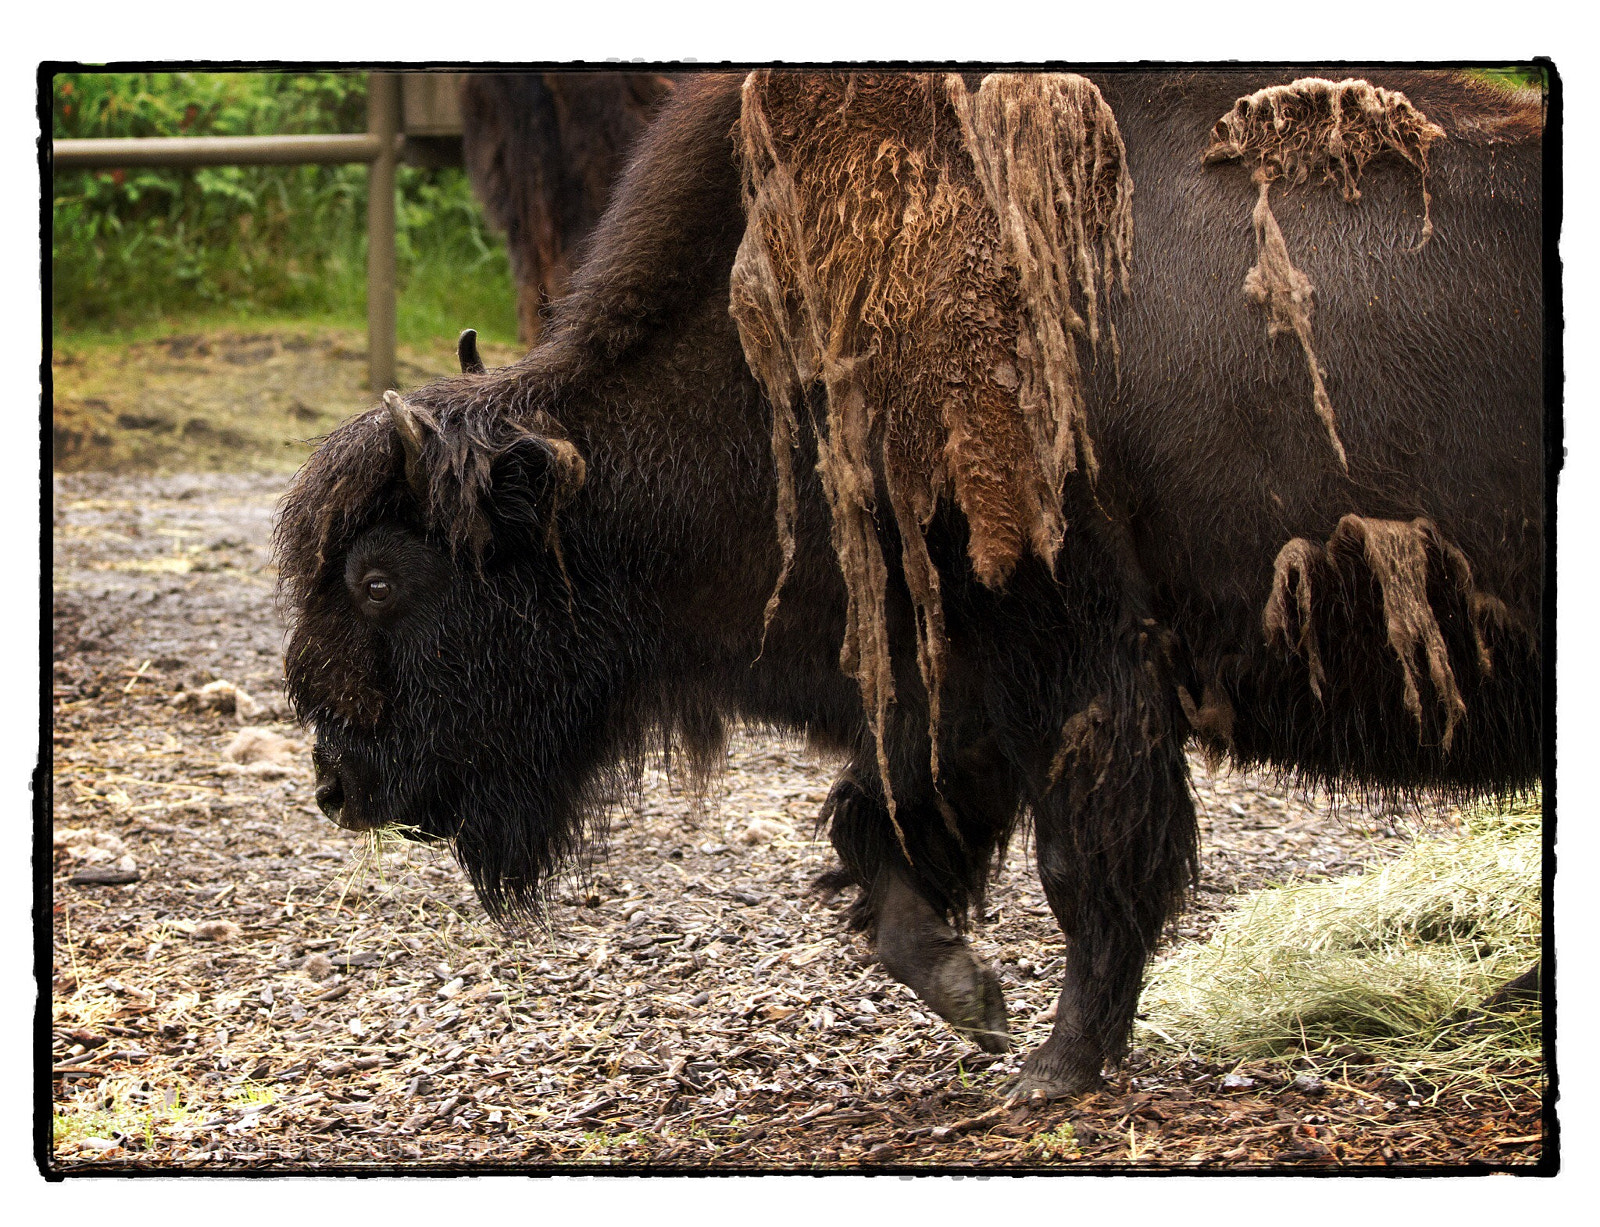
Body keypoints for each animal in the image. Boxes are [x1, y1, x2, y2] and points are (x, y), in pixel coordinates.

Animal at [277, 70, 1547, 1099]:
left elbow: (1083, 863)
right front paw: (970, 997)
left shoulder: (1069, 663)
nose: (337, 783)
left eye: (381, 577)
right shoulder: (956, 682)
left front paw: (1051, 1067)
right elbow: (885, 838)